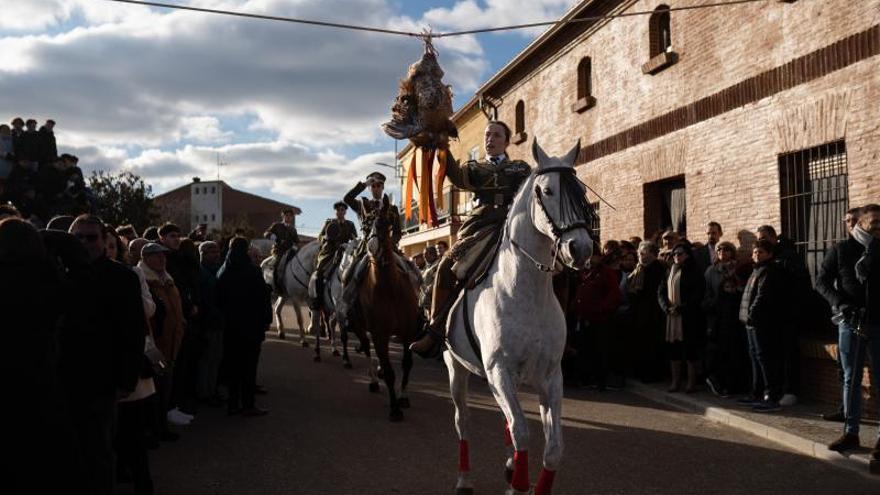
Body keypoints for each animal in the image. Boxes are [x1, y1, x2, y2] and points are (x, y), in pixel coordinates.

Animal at [350, 196, 420, 420]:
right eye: (365, 225)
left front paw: (403, 397)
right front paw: (394, 409)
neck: (389, 288)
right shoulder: (379, 333)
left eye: (385, 222)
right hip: (360, 327)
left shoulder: (408, 331)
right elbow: (390, 372)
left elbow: (407, 364)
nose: (372, 247)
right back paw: (373, 379)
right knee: (368, 350)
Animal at [446, 140, 592, 495]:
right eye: (547, 190)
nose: (580, 249)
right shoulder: (499, 370)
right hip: (456, 366)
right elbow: (523, 433)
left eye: (581, 190)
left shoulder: (550, 376)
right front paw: (519, 482)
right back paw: (464, 478)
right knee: (464, 421)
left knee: (507, 422)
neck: (525, 291)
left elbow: (553, 447)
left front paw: (523, 477)